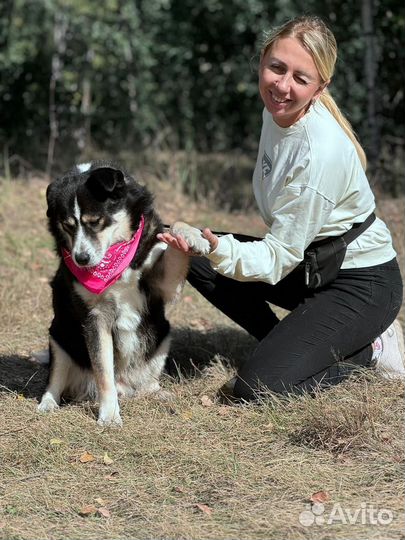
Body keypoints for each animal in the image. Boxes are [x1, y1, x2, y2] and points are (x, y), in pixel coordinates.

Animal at [37, 160, 208, 426]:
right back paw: (47, 404)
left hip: (162, 334)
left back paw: (160, 393)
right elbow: (103, 373)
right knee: (55, 381)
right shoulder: (96, 318)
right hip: (59, 337)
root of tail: (125, 387)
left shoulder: (161, 283)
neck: (117, 256)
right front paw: (109, 416)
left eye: (95, 221)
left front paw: (193, 237)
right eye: (67, 225)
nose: (80, 259)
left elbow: (176, 227)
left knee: (147, 382)